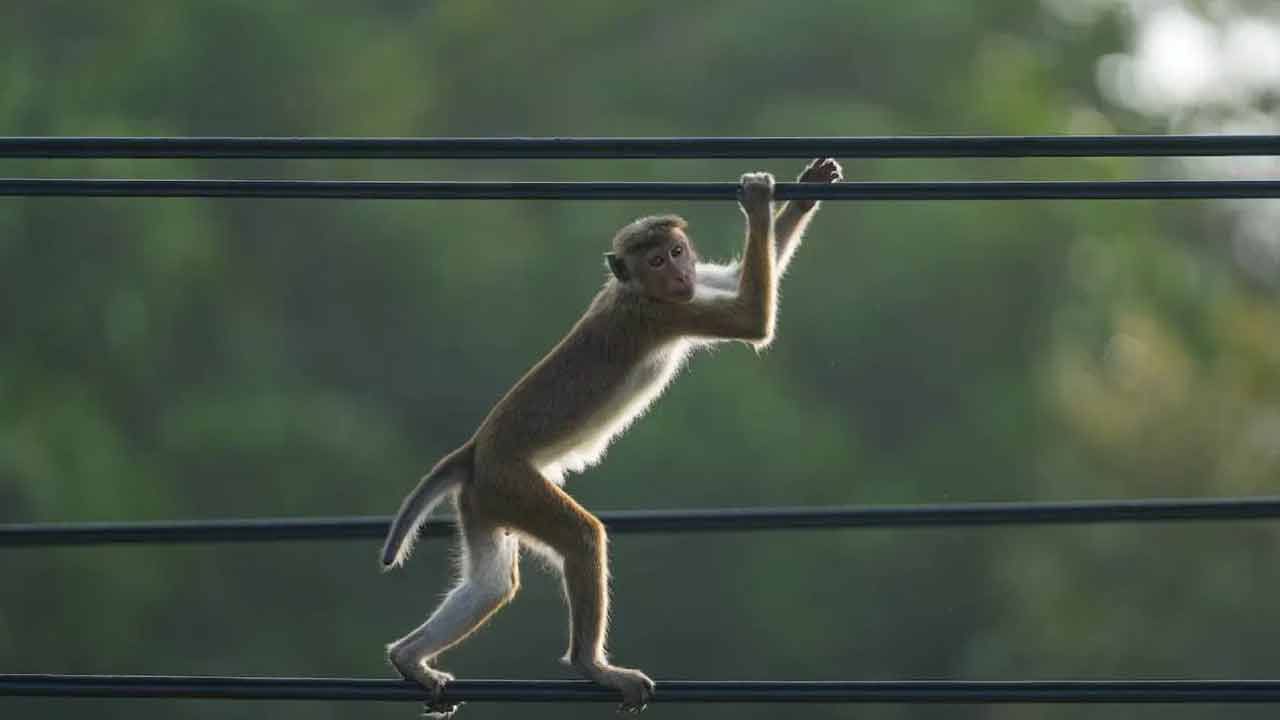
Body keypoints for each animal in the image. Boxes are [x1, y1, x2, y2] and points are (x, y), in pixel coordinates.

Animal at [381, 158, 843, 716]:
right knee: (581, 539)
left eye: (677, 252)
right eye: (657, 259)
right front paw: (756, 202)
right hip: (513, 483)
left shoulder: (684, 294)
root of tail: (475, 449)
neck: (636, 292)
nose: (679, 272)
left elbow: (734, 277)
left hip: (485, 498)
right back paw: (591, 666)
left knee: (490, 586)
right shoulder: (665, 313)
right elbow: (752, 318)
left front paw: (805, 194)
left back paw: (409, 657)